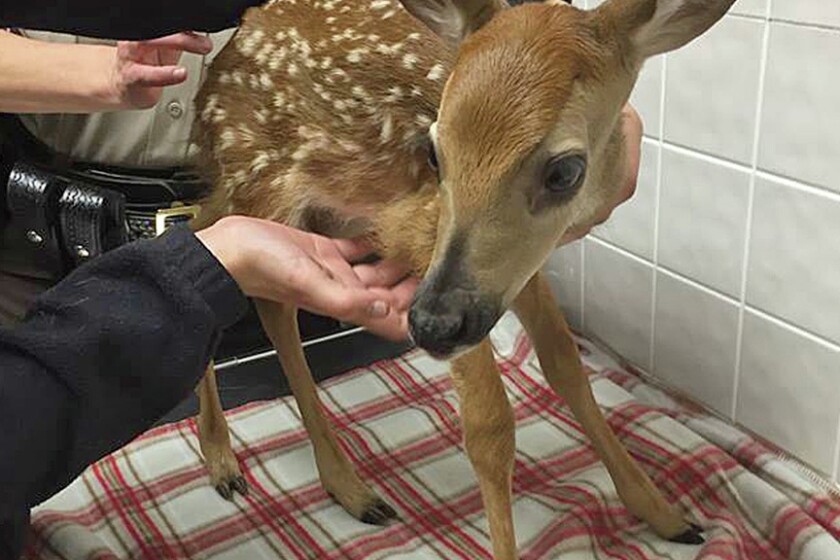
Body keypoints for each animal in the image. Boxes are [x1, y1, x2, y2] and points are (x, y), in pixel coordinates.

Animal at [189, 0, 734, 557]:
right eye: (434, 152)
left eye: (565, 172)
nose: (432, 324)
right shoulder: (417, 232)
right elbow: (489, 426)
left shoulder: (519, 265)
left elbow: (564, 362)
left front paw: (664, 514)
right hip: (261, 179)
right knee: (250, 282)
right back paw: (292, 475)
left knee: (216, 247)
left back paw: (269, 465)